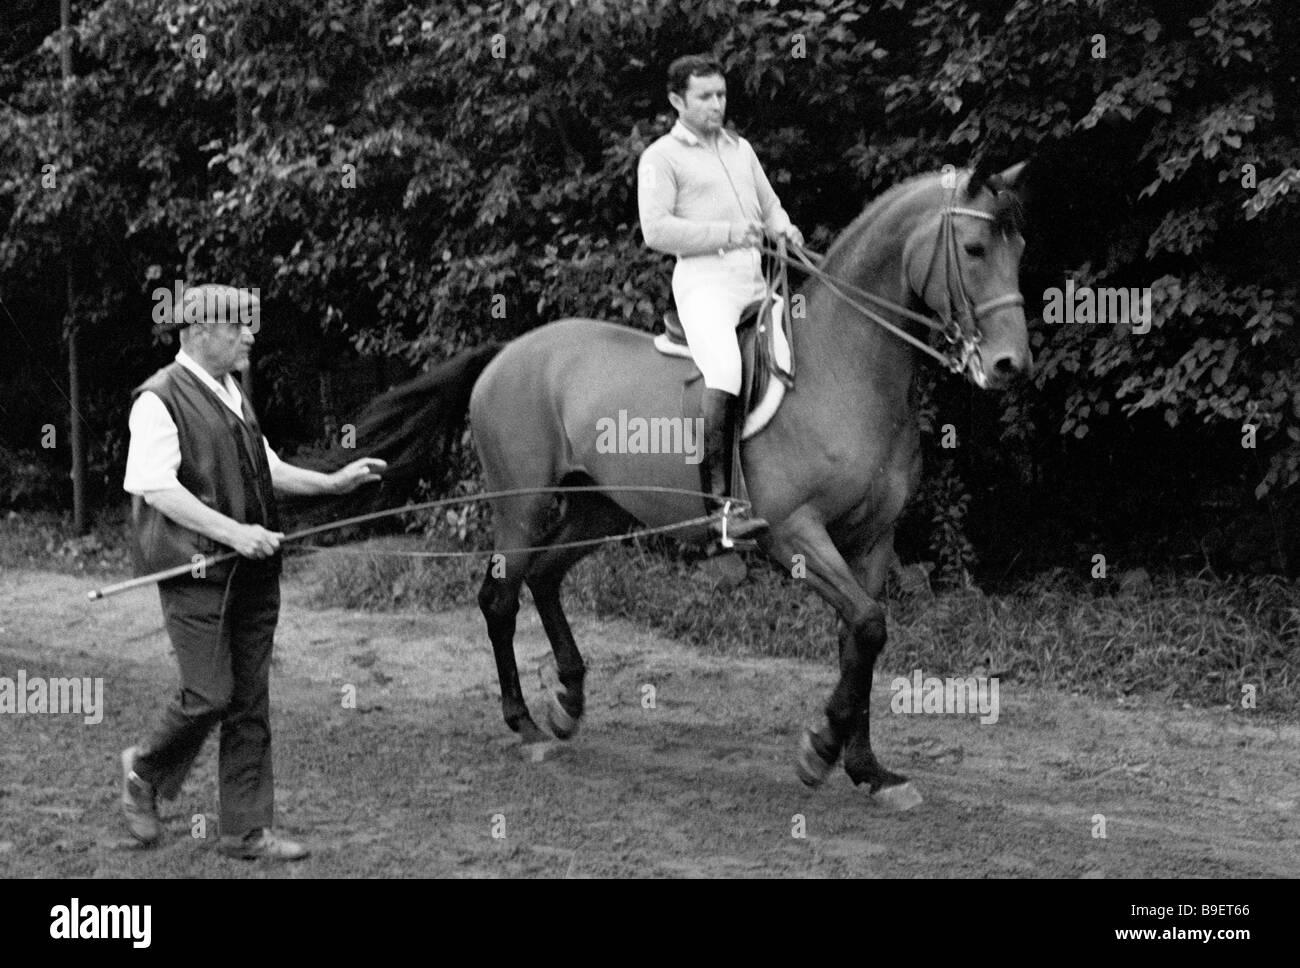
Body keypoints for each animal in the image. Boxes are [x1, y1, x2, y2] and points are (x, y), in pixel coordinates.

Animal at [352, 162, 1031, 809]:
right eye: (974, 248)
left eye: (1019, 248)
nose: (1010, 366)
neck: (843, 370)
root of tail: (506, 352)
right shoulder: (794, 535)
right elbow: (866, 627)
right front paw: (819, 751)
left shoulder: (872, 540)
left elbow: (859, 639)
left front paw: (869, 770)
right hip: (522, 506)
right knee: (499, 598)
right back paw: (526, 727)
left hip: (599, 510)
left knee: (544, 578)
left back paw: (568, 703)